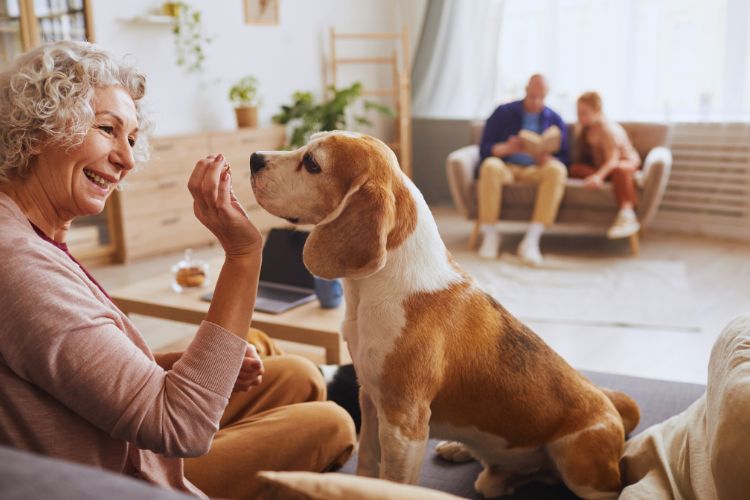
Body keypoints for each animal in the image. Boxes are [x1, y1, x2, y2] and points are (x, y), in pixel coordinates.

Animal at [251, 131, 640, 498]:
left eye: (312, 163)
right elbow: (367, 466)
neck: (373, 290)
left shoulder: (404, 424)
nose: (254, 158)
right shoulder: (371, 400)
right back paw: (468, 456)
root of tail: (609, 405)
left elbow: (393, 482)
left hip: (578, 463)